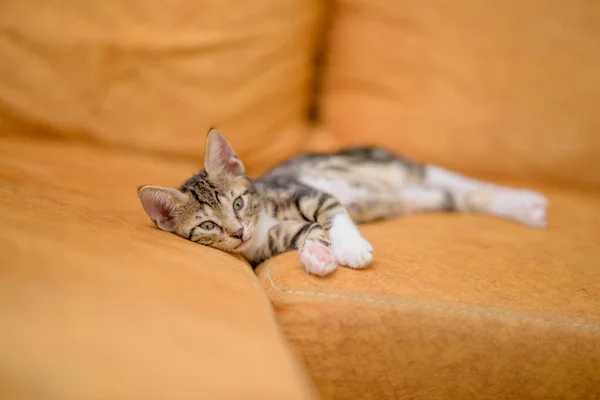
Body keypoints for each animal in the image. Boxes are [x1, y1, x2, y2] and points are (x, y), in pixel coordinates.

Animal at [137, 128, 548, 276]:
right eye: (207, 225)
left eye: (237, 203)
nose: (238, 232)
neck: (264, 217)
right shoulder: (270, 241)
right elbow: (307, 233)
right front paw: (318, 256)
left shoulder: (305, 191)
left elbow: (333, 214)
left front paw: (350, 248)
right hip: (423, 195)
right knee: (463, 196)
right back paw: (523, 208)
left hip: (396, 166)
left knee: (462, 180)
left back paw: (525, 201)